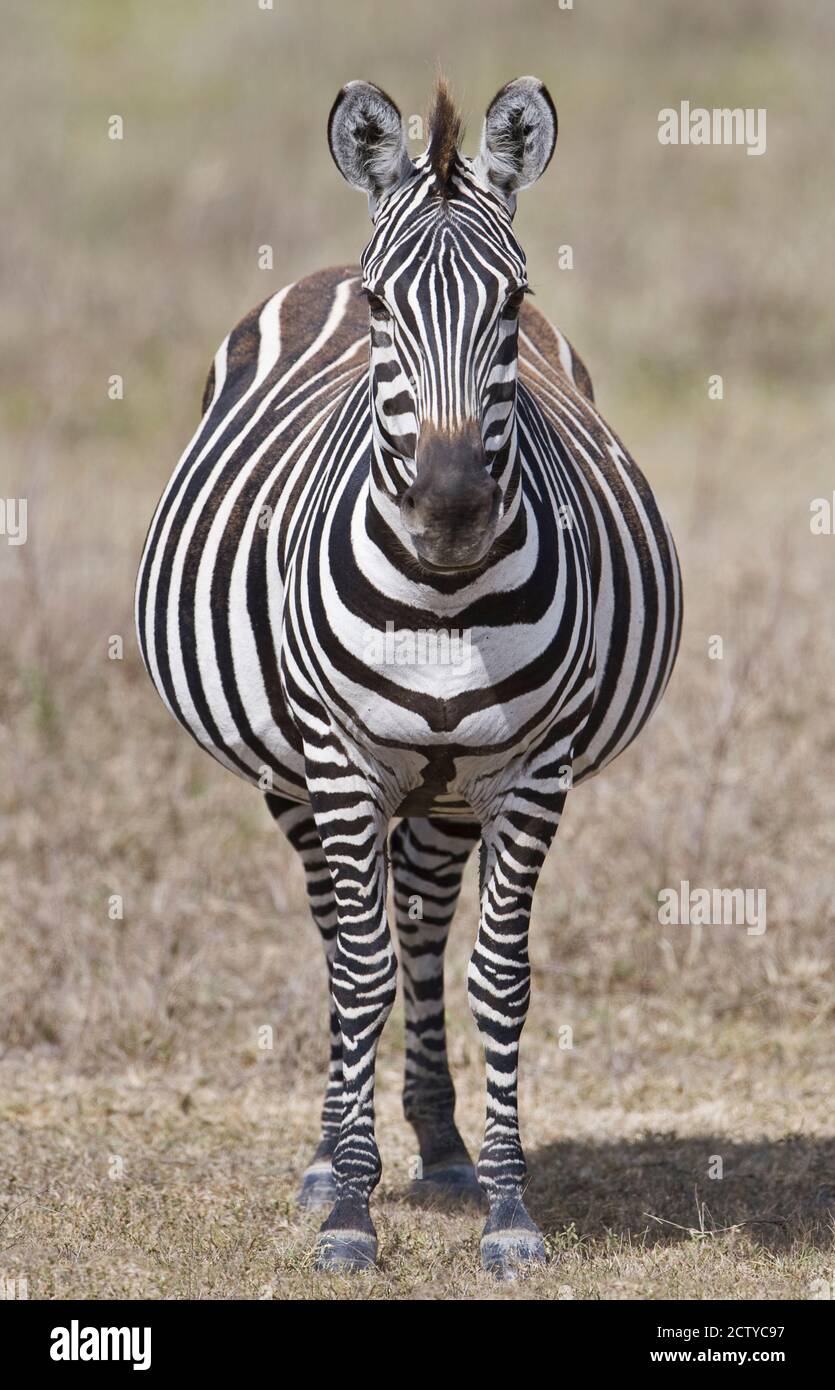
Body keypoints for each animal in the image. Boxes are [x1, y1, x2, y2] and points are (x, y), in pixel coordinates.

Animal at [136, 73, 680, 1273]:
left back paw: (437, 1144)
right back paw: (328, 1153)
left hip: (447, 787)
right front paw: (347, 1207)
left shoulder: (531, 768)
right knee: (347, 940)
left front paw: (510, 1211)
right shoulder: (339, 761)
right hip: (297, 773)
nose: (449, 512)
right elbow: (358, 970)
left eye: (513, 301)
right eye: (386, 311)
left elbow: (497, 977)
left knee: (423, 925)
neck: (441, 605)